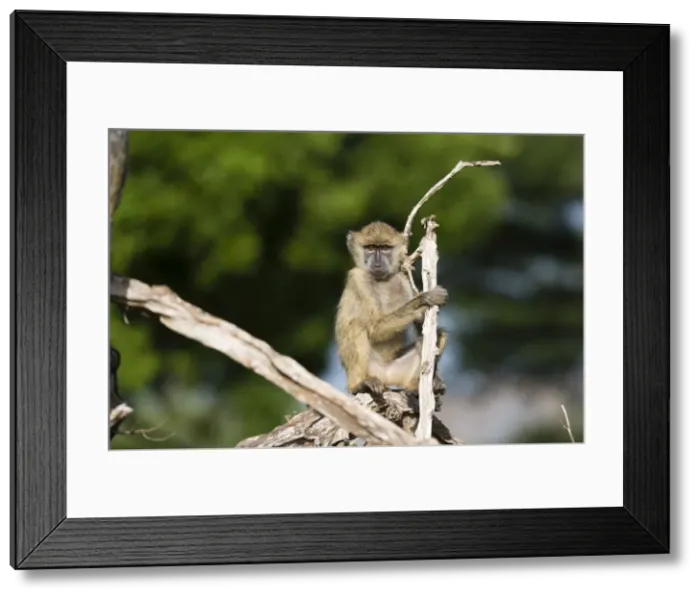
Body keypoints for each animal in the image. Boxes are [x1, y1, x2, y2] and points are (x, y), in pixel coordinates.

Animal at [334, 221, 449, 411]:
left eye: (385, 248)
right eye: (370, 248)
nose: (377, 263)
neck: (381, 280)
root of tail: (385, 376)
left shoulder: (401, 278)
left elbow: (424, 329)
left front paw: (436, 379)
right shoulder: (358, 278)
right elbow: (375, 327)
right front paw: (424, 299)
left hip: (397, 372)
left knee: (437, 335)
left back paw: (416, 387)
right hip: (370, 369)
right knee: (357, 325)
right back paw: (359, 385)